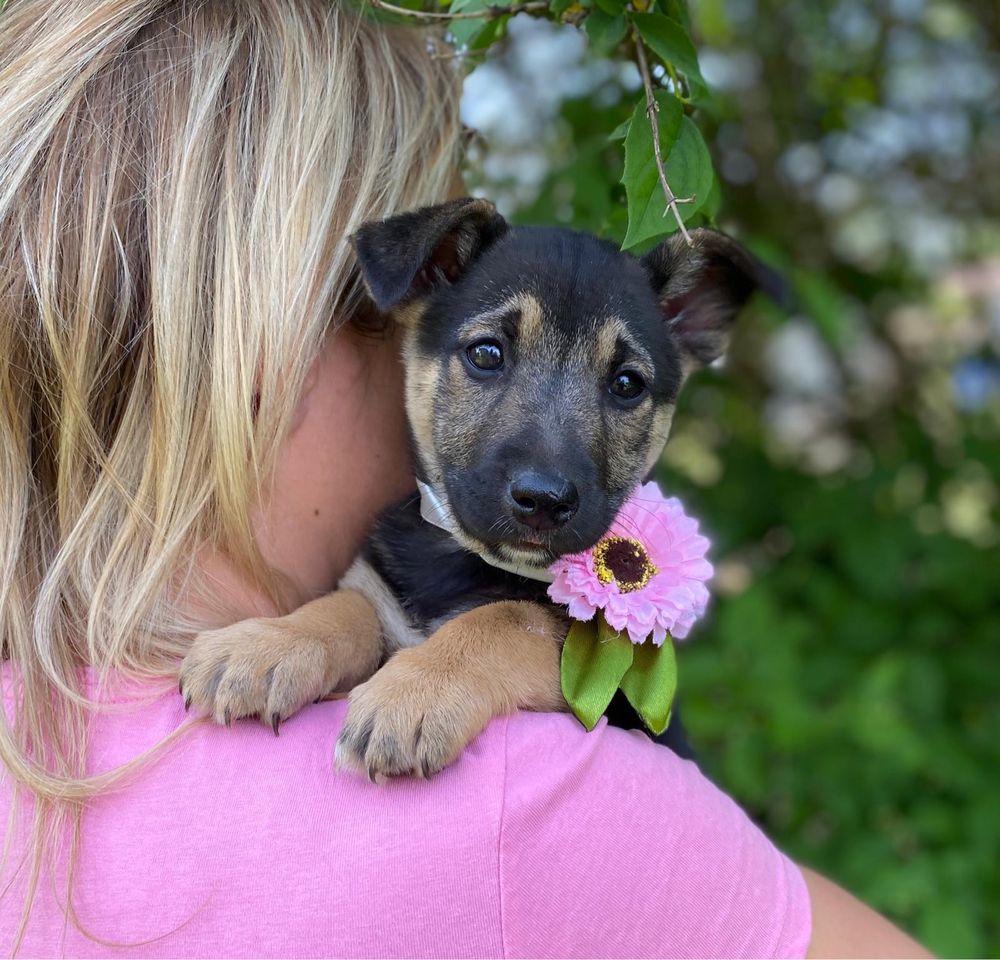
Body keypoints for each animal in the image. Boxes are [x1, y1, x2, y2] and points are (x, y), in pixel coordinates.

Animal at [180, 199, 772, 776]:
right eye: (486, 354)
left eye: (627, 384)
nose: (543, 501)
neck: (464, 560)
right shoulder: (381, 588)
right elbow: (348, 604)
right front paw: (263, 646)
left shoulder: (601, 680)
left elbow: (510, 618)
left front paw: (415, 692)